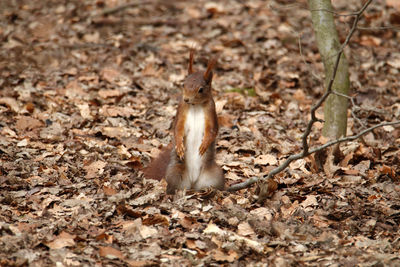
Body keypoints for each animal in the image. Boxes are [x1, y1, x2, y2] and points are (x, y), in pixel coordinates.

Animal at [144, 49, 225, 195]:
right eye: (183, 84)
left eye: (201, 89)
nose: (186, 99)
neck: (195, 106)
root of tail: (193, 183)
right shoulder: (181, 109)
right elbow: (178, 128)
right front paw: (180, 146)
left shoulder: (211, 111)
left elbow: (212, 130)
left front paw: (204, 145)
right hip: (174, 173)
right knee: (172, 187)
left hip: (215, 175)